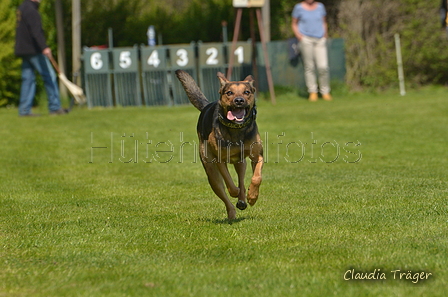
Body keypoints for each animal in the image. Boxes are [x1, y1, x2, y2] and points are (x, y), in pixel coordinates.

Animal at [173, 70, 260, 220]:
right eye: (229, 93)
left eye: (247, 92)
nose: (239, 101)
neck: (236, 128)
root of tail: (206, 106)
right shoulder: (220, 160)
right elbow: (229, 182)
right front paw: (235, 192)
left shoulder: (257, 155)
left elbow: (256, 177)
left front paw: (253, 196)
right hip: (211, 171)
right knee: (223, 191)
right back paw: (232, 212)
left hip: (240, 163)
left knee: (241, 179)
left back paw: (242, 200)